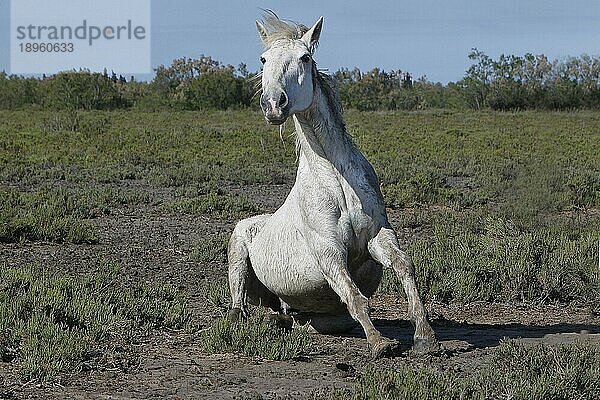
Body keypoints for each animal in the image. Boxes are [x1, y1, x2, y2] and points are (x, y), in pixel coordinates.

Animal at [227, 14, 438, 358]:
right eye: (263, 59)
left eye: (305, 57)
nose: (273, 104)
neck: (337, 179)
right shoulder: (328, 252)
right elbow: (354, 296)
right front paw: (380, 344)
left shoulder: (378, 237)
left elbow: (404, 266)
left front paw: (425, 337)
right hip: (238, 253)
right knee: (238, 304)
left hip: (314, 315)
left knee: (292, 317)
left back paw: (280, 318)